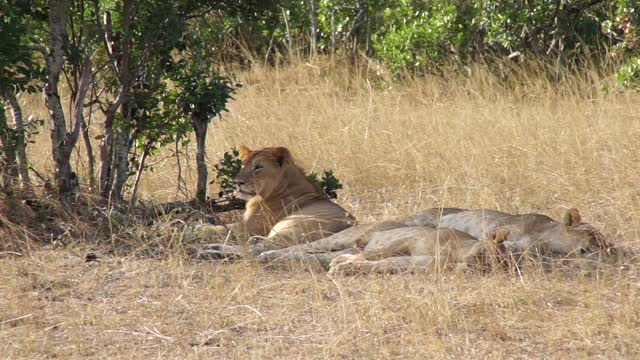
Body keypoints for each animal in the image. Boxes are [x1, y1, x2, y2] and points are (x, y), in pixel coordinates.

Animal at [196, 144, 356, 258]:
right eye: (243, 165)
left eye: (258, 167)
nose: (237, 182)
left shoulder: (247, 228)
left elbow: (220, 228)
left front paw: (198, 228)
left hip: (288, 229)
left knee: (255, 250)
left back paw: (209, 251)